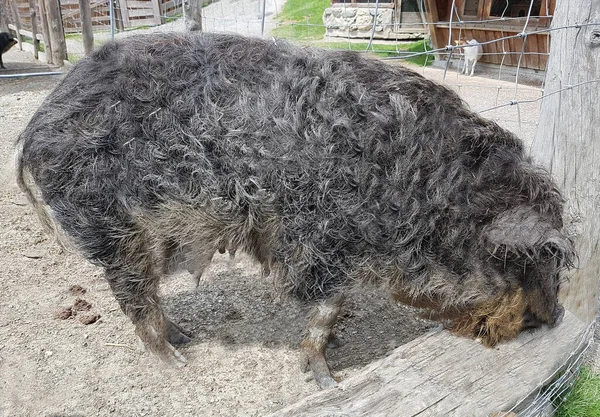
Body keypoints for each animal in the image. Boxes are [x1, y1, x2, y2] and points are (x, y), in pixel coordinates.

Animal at [16, 31, 576, 386]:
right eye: (531, 260)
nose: (555, 316)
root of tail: (37, 123)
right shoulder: (321, 239)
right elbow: (324, 307)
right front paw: (328, 382)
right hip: (117, 229)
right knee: (134, 301)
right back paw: (180, 366)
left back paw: (188, 338)